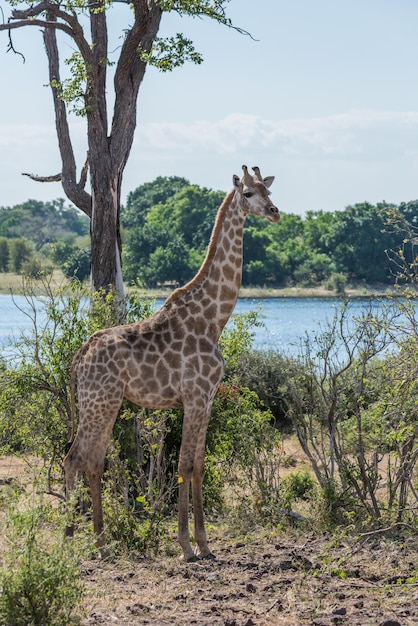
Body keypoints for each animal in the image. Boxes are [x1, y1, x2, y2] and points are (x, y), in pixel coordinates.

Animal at [65, 163, 280, 560]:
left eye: (267, 190)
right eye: (247, 193)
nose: (275, 212)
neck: (214, 319)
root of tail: (80, 355)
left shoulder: (206, 399)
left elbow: (198, 465)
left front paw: (204, 543)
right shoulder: (193, 397)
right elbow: (183, 463)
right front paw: (185, 545)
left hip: (103, 402)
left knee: (93, 459)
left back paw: (100, 541)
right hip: (100, 401)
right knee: (76, 457)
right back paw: (70, 538)